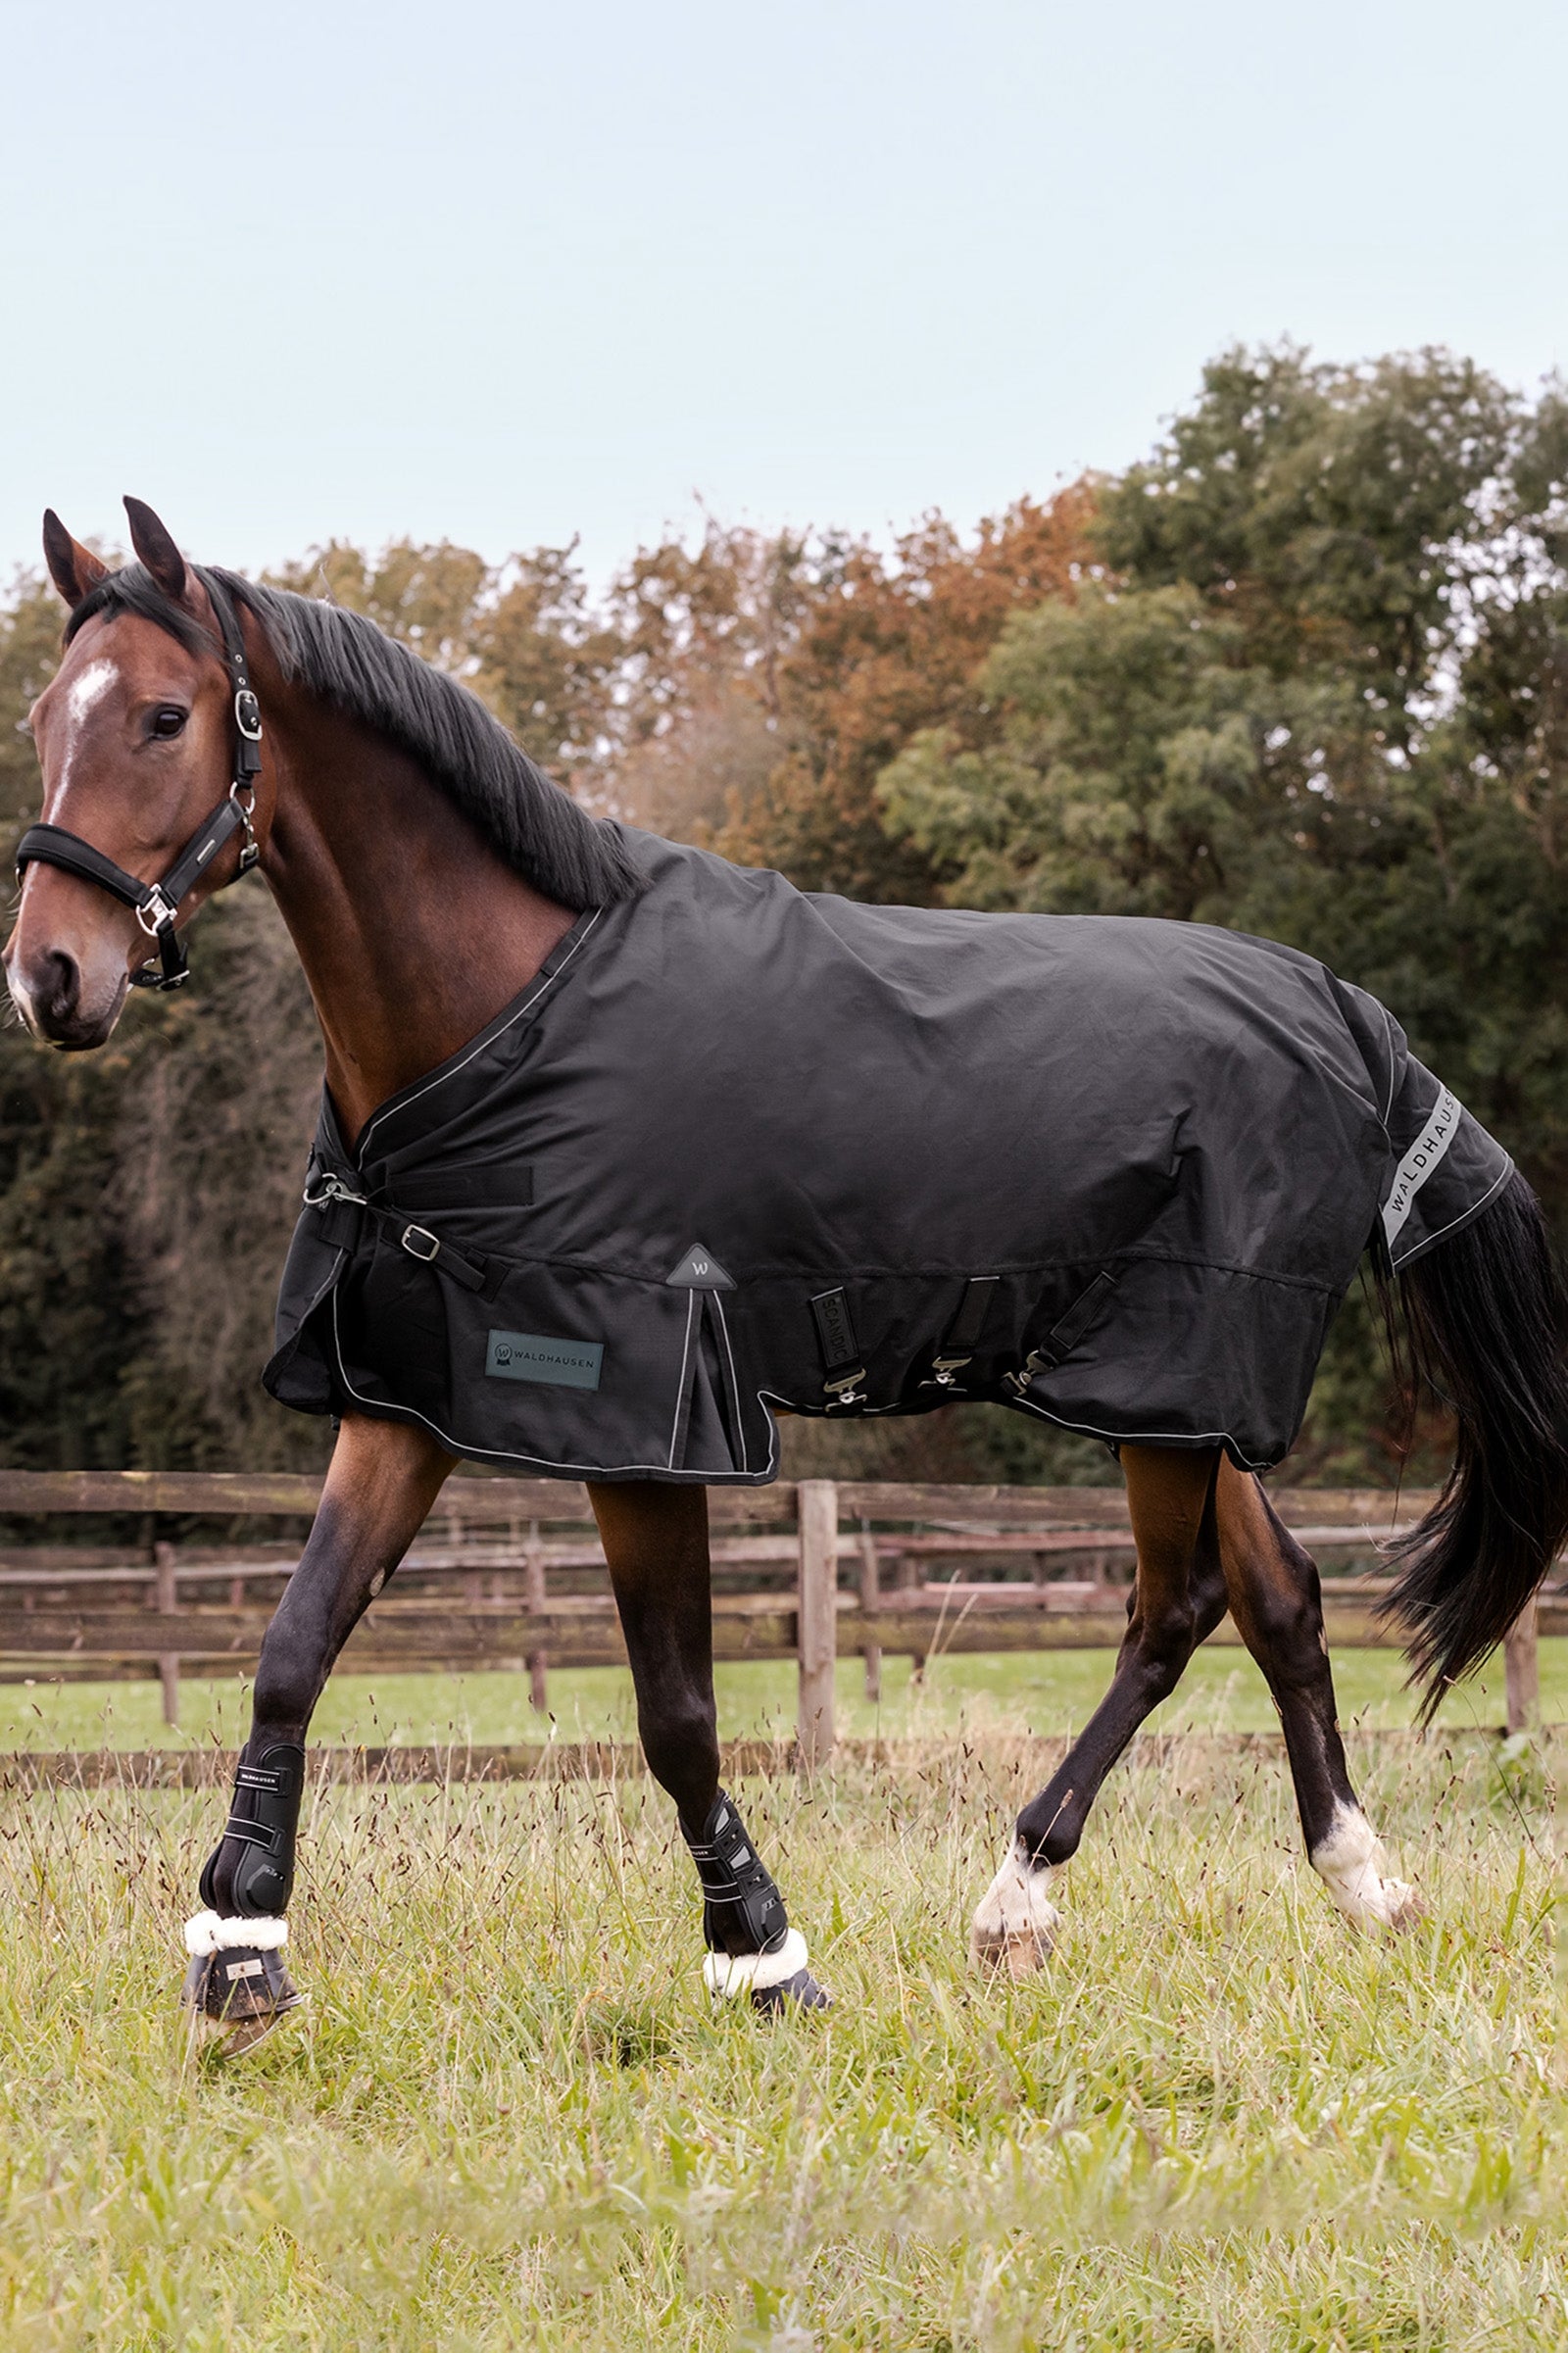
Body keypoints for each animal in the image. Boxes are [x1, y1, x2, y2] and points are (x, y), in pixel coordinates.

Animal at [10, 498, 1568, 2055]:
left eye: (163, 716)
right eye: (40, 718)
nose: (48, 980)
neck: (505, 1012)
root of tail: (1339, 1005)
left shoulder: (644, 1415)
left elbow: (676, 1715)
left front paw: (762, 1953)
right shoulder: (408, 1394)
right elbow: (293, 1646)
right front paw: (240, 1951)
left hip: (1174, 1373)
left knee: (1173, 1608)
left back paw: (1019, 1896)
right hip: (1173, 1394)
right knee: (1277, 1595)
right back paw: (1360, 1881)